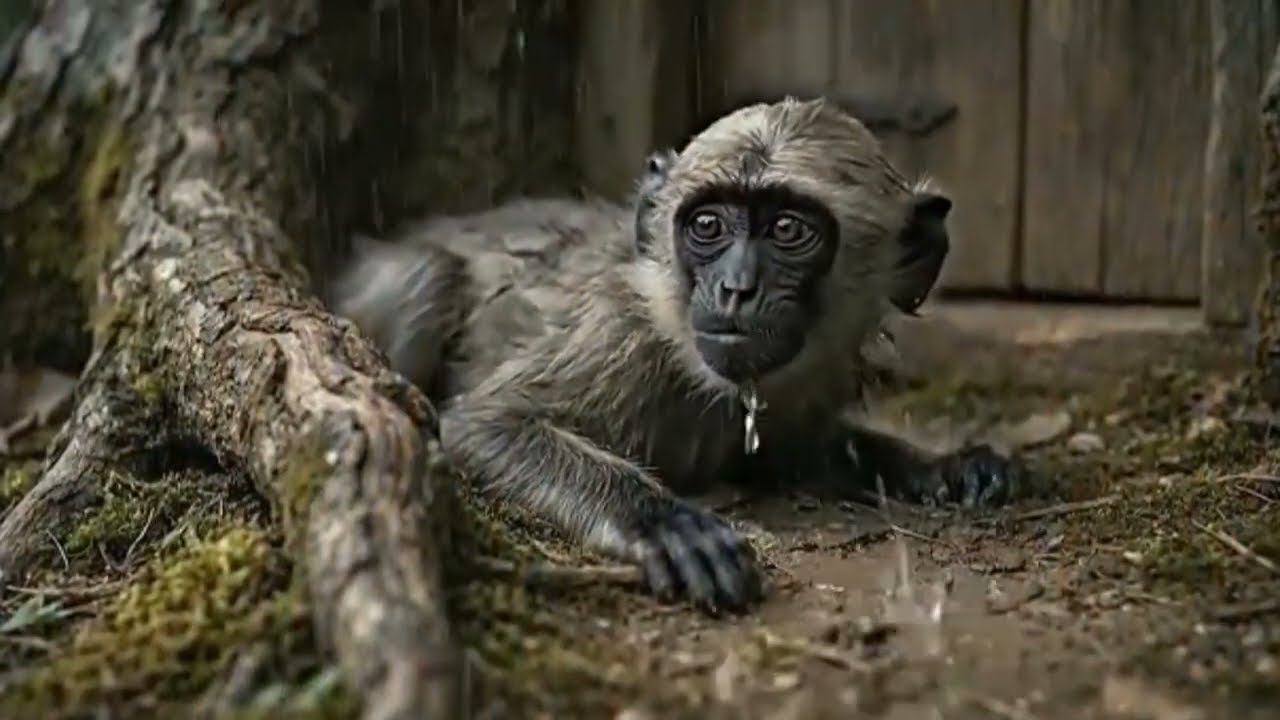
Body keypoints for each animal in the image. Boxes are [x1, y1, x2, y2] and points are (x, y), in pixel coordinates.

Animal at [330, 97, 1024, 615]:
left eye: (787, 230)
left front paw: (939, 464)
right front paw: (660, 521)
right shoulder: (616, 336)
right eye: (708, 226)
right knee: (428, 276)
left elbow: (806, 450)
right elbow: (482, 425)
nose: (736, 288)